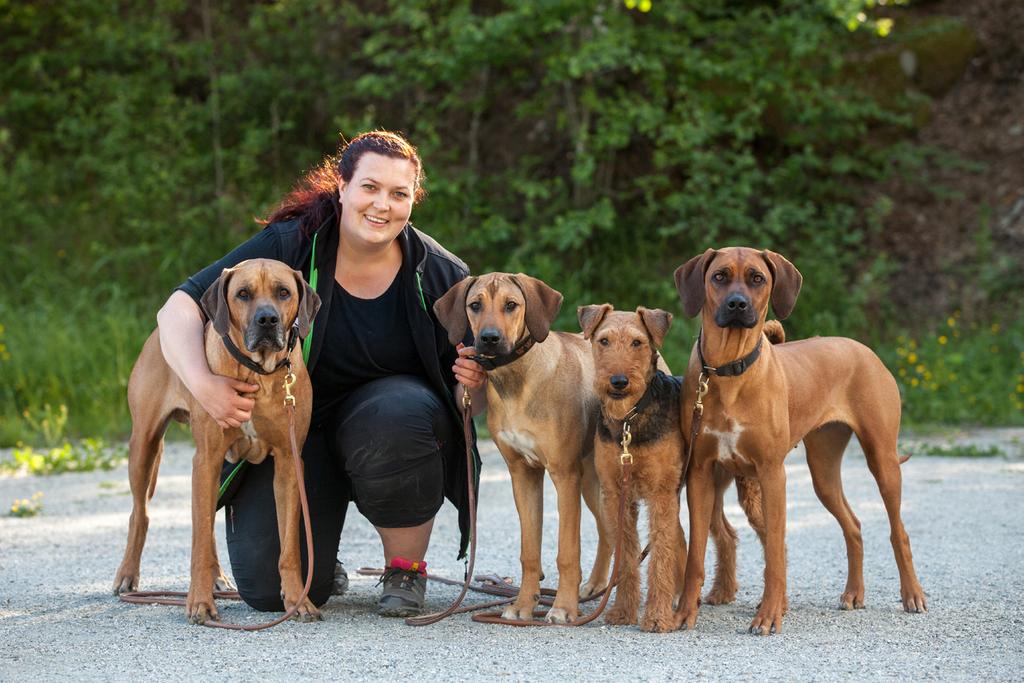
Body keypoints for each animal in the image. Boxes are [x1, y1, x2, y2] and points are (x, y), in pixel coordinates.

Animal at [112, 258, 321, 626]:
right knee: (141, 513)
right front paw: (198, 603)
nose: (268, 320)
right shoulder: (206, 457)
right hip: (144, 446)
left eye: (283, 292)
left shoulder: (288, 461)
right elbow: (196, 543)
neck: (258, 373)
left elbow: (290, 547)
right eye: (243, 294)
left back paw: (217, 576)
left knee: (206, 520)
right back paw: (128, 574)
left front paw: (298, 601)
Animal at [430, 274, 606, 626]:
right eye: (475, 305)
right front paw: (524, 605)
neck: (518, 380)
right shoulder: (523, 474)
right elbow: (529, 551)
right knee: (612, 533)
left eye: (511, 305)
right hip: (592, 484)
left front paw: (563, 608)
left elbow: (567, 551)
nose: (489, 338)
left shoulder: (565, 475)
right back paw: (597, 586)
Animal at [581, 307, 765, 634]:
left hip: (749, 493)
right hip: (707, 494)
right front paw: (623, 612)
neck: (630, 420)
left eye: (637, 342)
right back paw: (721, 592)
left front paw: (656, 617)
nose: (618, 382)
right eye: (603, 341)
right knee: (726, 535)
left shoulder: (661, 494)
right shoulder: (616, 495)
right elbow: (627, 557)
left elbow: (661, 557)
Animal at [675, 246, 925, 634]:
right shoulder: (700, 473)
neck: (731, 371)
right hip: (823, 470)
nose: (737, 305)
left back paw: (912, 594)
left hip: (882, 459)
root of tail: (863, 349)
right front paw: (685, 612)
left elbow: (775, 553)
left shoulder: (771, 474)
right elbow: (695, 556)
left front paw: (768, 615)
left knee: (899, 531)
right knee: (853, 525)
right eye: (719, 276)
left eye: (757, 278)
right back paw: (854, 593)